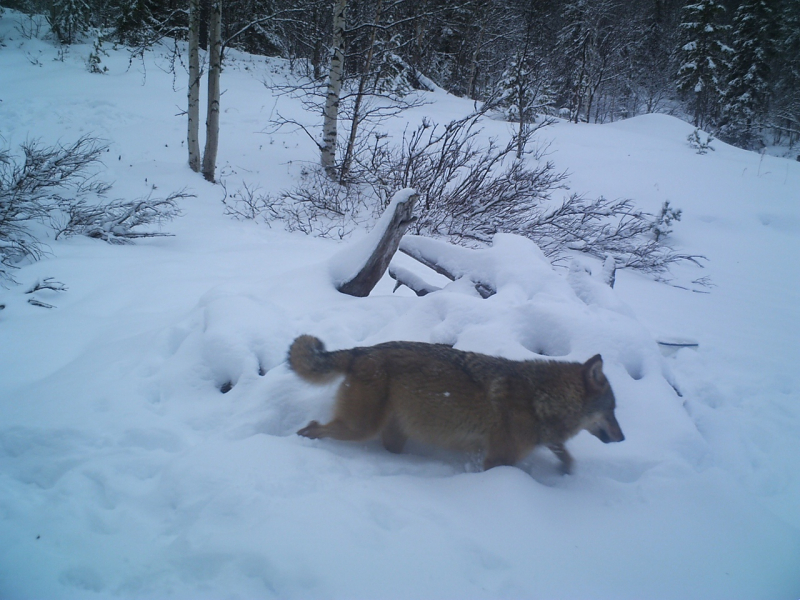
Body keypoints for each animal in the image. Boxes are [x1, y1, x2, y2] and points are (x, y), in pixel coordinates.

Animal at [289, 335, 624, 473]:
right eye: (612, 411)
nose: (623, 438)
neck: (540, 398)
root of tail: (360, 350)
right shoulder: (497, 459)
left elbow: (565, 455)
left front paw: (566, 470)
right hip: (358, 428)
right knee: (312, 428)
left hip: (392, 433)